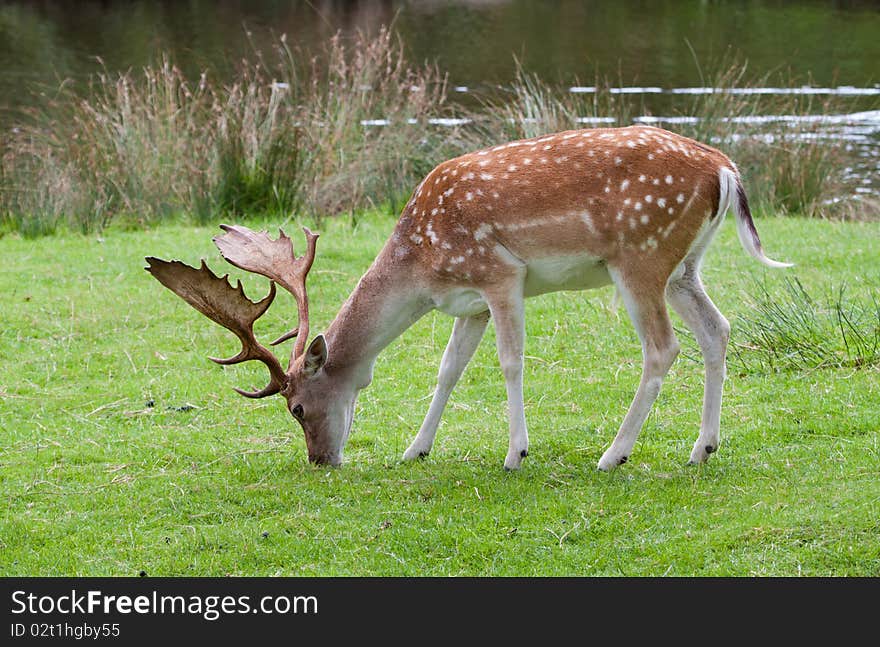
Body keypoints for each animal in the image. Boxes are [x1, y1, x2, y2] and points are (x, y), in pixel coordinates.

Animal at [146, 125, 792, 470]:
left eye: (298, 408)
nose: (321, 460)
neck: (423, 266)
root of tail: (726, 170)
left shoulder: (499, 274)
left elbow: (510, 362)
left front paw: (516, 453)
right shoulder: (469, 302)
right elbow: (449, 369)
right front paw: (415, 450)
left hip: (639, 257)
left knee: (663, 348)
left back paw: (614, 454)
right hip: (683, 266)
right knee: (718, 329)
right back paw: (702, 448)